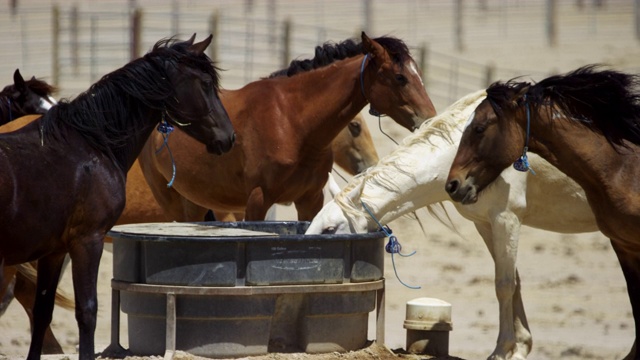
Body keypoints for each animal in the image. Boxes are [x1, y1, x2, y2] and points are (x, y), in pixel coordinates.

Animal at [0, 34, 235, 360]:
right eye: (206, 83)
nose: (229, 137)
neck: (91, 144)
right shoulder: (88, 241)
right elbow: (87, 312)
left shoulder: (54, 252)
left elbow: (43, 311)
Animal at [135, 31, 436, 222]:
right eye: (400, 77)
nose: (429, 117)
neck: (293, 123)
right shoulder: (257, 202)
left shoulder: (310, 200)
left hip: (196, 204)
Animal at [304, 88, 600, 360]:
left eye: (330, 230)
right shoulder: (486, 224)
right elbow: (513, 282)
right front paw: (521, 346)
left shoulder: (506, 219)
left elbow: (504, 285)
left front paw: (502, 351)